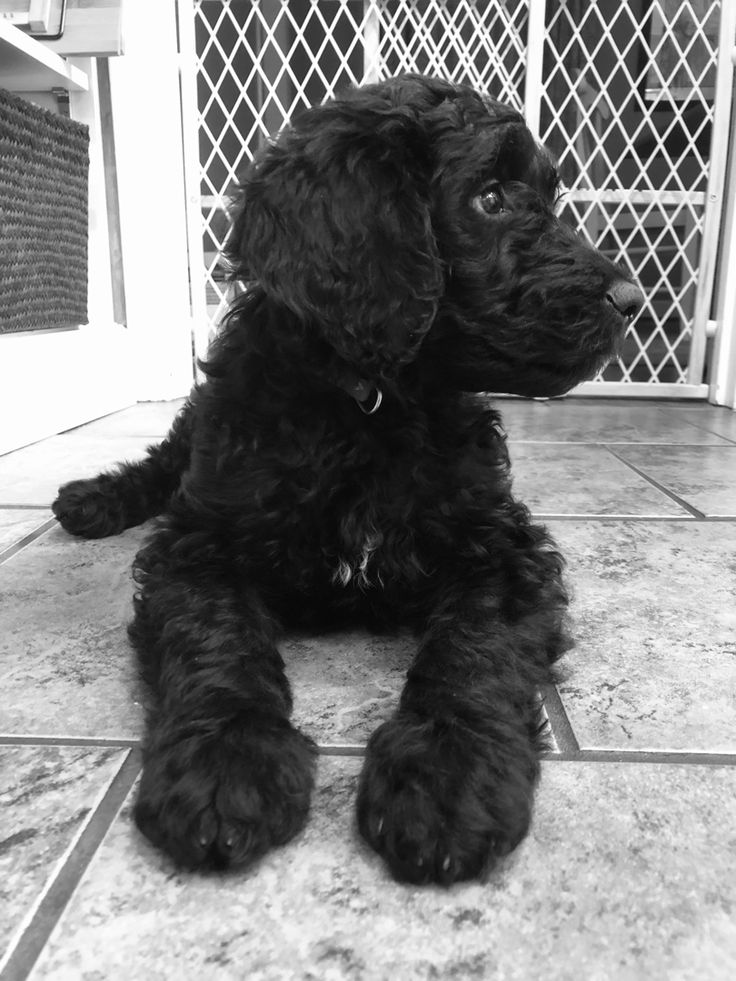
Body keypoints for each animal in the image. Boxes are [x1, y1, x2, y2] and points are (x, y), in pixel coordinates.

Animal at [53, 74, 640, 888]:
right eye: (490, 198)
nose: (632, 299)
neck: (372, 404)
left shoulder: (503, 547)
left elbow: (475, 647)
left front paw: (448, 773)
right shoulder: (202, 544)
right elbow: (215, 636)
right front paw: (226, 761)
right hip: (199, 432)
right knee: (162, 460)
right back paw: (92, 498)